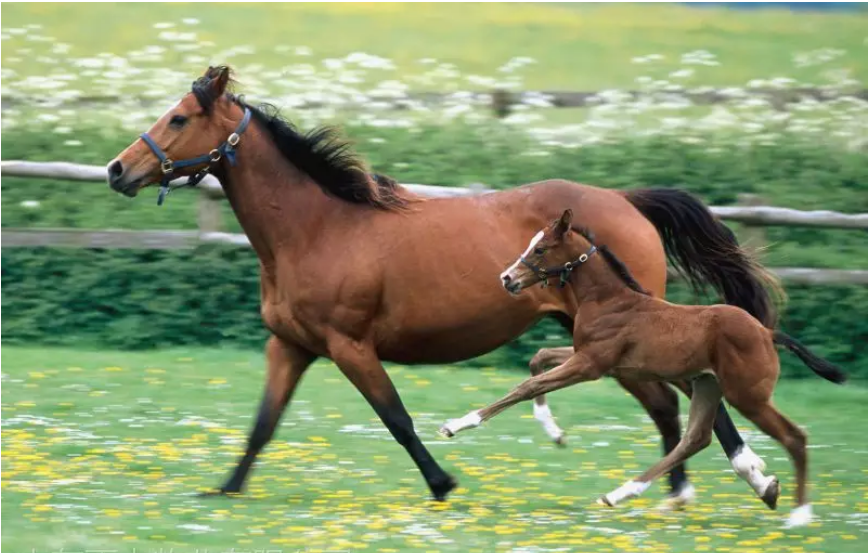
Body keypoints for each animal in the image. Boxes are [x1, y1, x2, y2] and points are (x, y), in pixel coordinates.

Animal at [107, 64, 780, 504]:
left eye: (179, 117)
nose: (117, 170)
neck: (318, 228)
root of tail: (626, 200)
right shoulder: (291, 345)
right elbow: (263, 424)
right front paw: (224, 489)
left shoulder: (350, 346)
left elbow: (397, 419)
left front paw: (443, 483)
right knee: (670, 405)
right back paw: (679, 492)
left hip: (630, 333)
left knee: (689, 402)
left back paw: (744, 479)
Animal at [440, 209, 848, 528]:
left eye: (540, 249)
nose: (507, 279)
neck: (609, 299)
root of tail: (766, 332)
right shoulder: (591, 358)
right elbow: (538, 360)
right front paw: (552, 429)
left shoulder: (590, 364)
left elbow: (526, 386)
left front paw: (456, 424)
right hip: (707, 386)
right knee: (694, 439)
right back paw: (620, 493)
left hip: (747, 396)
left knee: (794, 437)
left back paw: (799, 515)